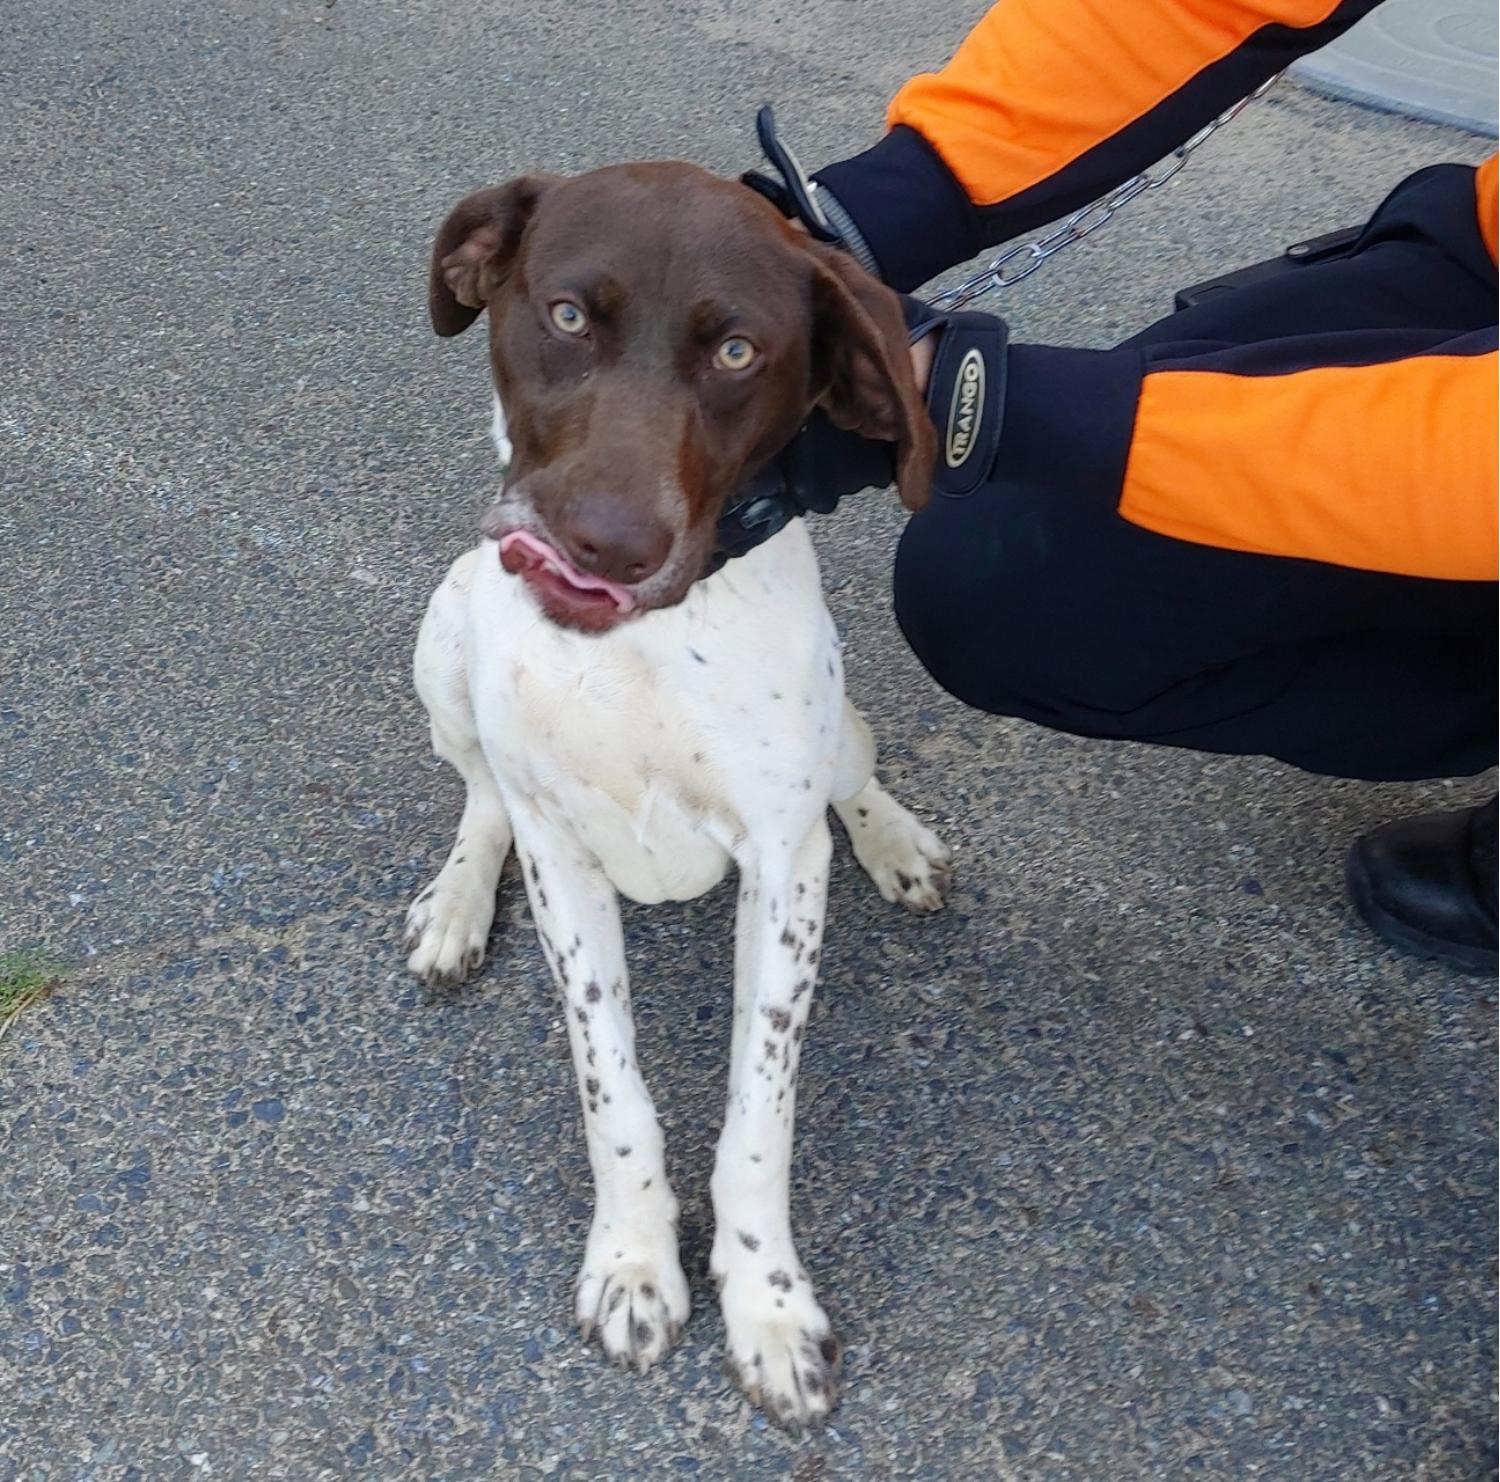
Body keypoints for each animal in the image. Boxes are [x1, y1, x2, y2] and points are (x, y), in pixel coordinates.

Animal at [402, 165, 948, 1434]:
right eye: (564, 316)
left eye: (739, 350)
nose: (607, 542)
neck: (641, 651)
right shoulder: (562, 863)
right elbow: (615, 1096)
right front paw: (634, 1265)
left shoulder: (783, 871)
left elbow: (758, 1119)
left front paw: (769, 1305)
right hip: (441, 644)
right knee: (480, 791)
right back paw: (456, 902)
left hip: (834, 746)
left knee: (859, 771)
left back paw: (895, 838)